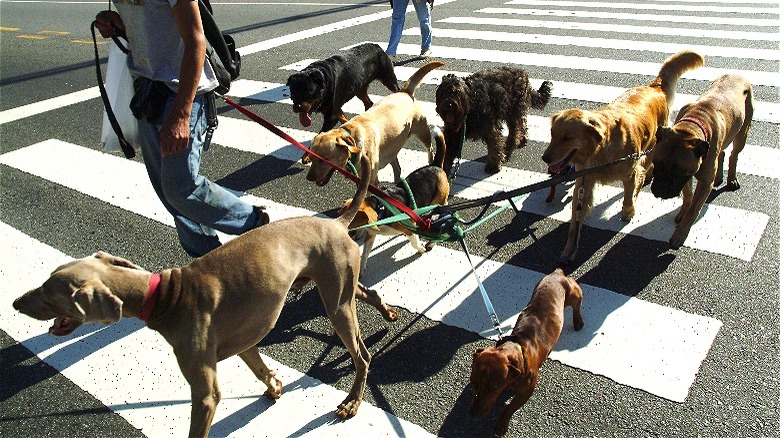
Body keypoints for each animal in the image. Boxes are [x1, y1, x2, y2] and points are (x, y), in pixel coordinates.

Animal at [13, 156, 396, 438]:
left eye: (50, 293)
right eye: (46, 283)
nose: (16, 303)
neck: (165, 296)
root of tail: (338, 222)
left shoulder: (206, 393)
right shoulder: (244, 343)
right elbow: (261, 369)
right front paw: (274, 386)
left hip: (336, 304)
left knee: (363, 356)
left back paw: (352, 402)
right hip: (337, 285)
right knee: (367, 292)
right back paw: (388, 312)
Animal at [304, 59, 444, 186]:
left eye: (325, 160)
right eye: (312, 158)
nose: (309, 178)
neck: (352, 135)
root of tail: (404, 92)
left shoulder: (370, 180)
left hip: (423, 132)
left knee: (430, 149)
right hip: (392, 145)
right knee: (397, 167)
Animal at [544, 51, 708, 264]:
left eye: (567, 138)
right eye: (552, 134)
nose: (545, 158)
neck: (600, 152)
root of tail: (654, 86)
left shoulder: (629, 172)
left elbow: (629, 196)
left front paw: (628, 211)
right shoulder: (583, 182)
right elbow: (574, 223)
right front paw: (568, 250)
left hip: (654, 144)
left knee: (645, 168)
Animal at [652, 73, 756, 248]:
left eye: (678, 171)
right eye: (657, 164)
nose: (660, 190)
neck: (689, 129)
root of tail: (737, 74)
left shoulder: (702, 181)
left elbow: (694, 208)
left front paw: (680, 234)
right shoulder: (690, 172)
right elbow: (688, 194)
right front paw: (683, 211)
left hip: (743, 131)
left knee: (733, 154)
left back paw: (731, 179)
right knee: (722, 153)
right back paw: (719, 177)